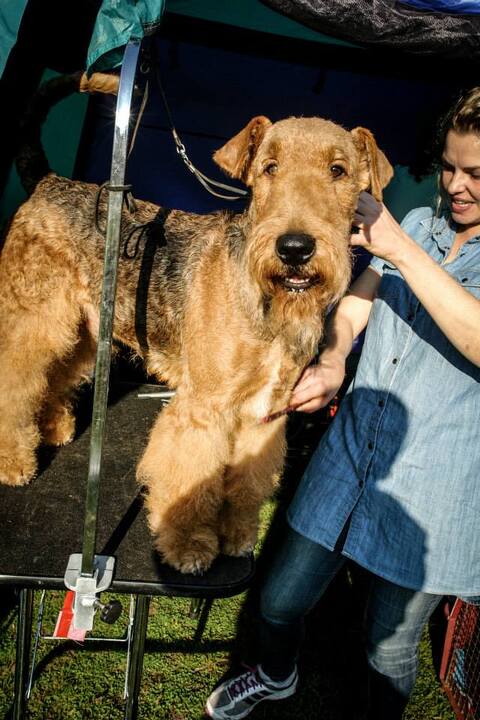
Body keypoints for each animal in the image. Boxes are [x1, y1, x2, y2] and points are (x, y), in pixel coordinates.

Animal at [0, 73, 393, 573]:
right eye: (269, 167)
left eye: (338, 170)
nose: (295, 248)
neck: (264, 302)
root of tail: (47, 181)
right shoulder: (205, 407)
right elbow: (193, 478)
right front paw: (188, 546)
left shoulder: (264, 413)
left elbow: (245, 481)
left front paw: (237, 535)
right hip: (34, 318)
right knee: (16, 379)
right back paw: (14, 463)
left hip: (84, 329)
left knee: (53, 378)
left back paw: (55, 429)